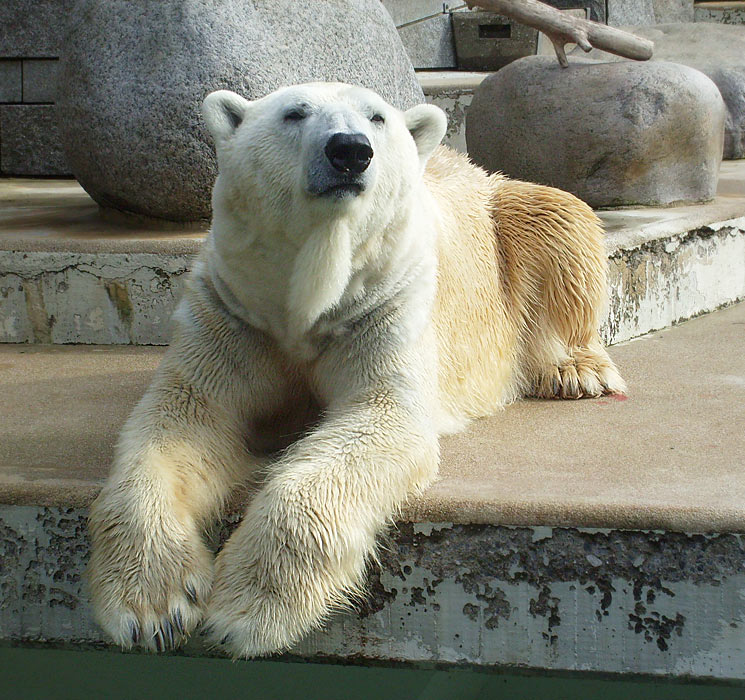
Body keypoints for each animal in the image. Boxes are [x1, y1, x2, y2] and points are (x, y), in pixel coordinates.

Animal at [85, 82, 620, 656]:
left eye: (377, 117)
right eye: (294, 112)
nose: (349, 150)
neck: (311, 298)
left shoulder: (384, 300)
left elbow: (380, 416)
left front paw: (244, 611)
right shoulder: (233, 310)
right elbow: (183, 419)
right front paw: (151, 607)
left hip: (501, 216)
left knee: (558, 215)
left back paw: (576, 369)